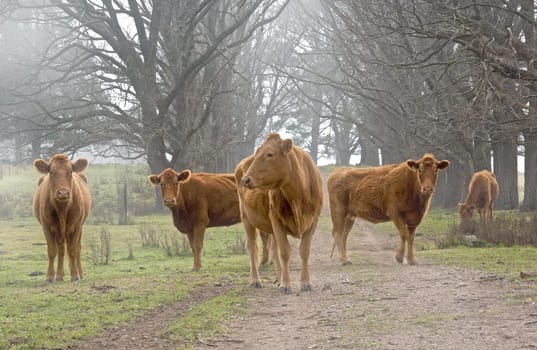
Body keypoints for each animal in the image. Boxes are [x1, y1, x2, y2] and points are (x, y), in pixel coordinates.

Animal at [32, 154, 91, 284]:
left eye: (70, 172)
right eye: (51, 172)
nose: (63, 193)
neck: (62, 209)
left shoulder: (77, 226)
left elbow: (73, 250)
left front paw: (75, 275)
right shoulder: (46, 226)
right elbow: (52, 251)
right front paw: (50, 276)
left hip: (79, 228)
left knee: (77, 248)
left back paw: (80, 273)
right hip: (59, 232)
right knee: (61, 249)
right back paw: (59, 275)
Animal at [236, 133, 322, 294]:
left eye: (270, 154)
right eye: (257, 153)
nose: (246, 179)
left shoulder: (313, 222)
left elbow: (304, 251)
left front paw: (305, 282)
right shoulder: (277, 222)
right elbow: (285, 253)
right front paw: (286, 284)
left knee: (273, 250)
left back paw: (278, 278)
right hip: (247, 219)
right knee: (252, 247)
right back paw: (256, 280)